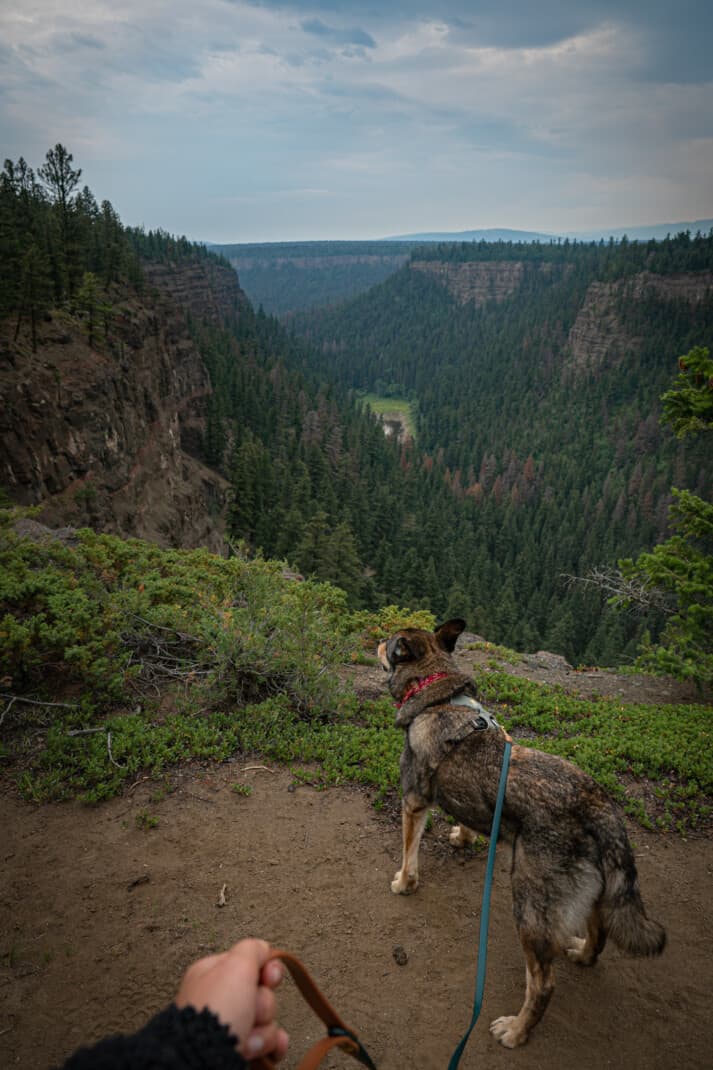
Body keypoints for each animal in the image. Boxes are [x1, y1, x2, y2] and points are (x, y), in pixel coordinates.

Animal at [374, 620, 663, 1044]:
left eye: (391, 642)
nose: (377, 640)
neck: (435, 691)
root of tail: (598, 807)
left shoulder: (413, 801)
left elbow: (410, 853)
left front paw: (403, 882)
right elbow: (468, 819)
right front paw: (463, 836)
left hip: (529, 907)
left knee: (543, 984)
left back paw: (516, 1030)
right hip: (591, 892)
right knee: (598, 934)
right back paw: (581, 953)